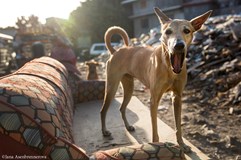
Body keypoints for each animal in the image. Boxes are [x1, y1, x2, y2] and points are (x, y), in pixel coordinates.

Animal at [100, 7, 212, 152]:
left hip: (129, 87)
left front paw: (181, 144)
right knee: (103, 110)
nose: (179, 45)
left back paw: (128, 127)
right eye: (168, 32)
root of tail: (115, 51)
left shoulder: (177, 97)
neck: (169, 68)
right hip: (111, 87)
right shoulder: (154, 100)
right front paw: (156, 146)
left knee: (122, 108)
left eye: (187, 30)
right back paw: (104, 131)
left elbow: (178, 126)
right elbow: (154, 130)